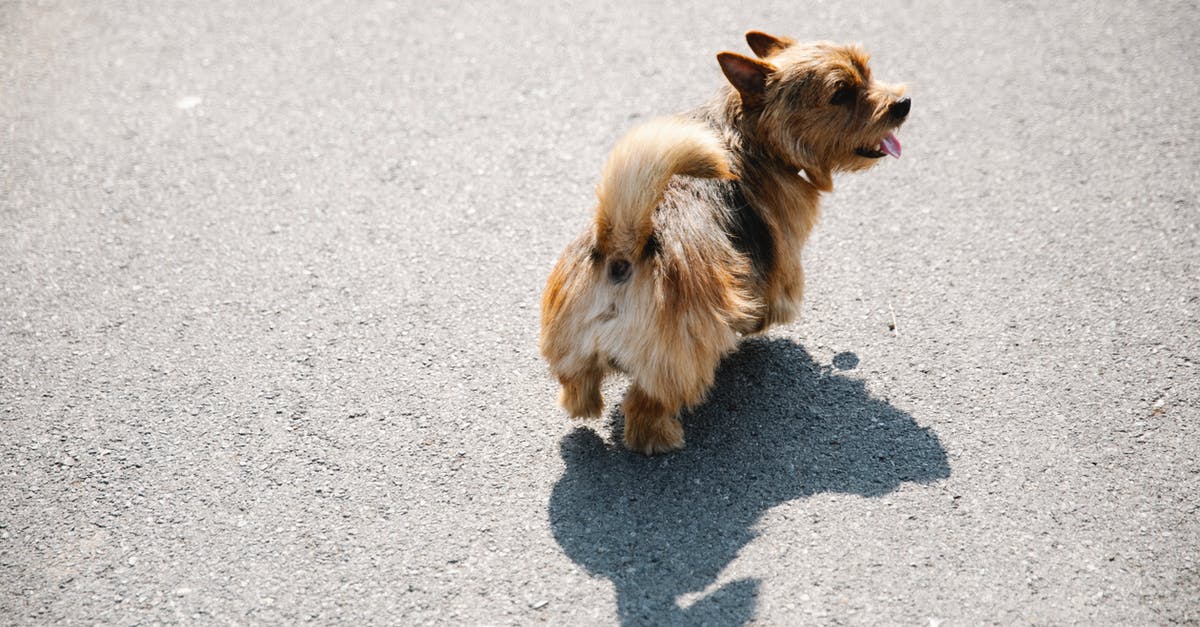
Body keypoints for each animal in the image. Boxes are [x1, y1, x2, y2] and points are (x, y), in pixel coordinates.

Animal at [540, 31, 902, 451]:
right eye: (841, 93)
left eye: (867, 71)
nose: (903, 104)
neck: (750, 131)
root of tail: (621, 252)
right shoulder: (783, 259)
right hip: (679, 362)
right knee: (646, 405)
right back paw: (661, 438)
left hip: (571, 348)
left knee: (576, 385)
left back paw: (583, 406)